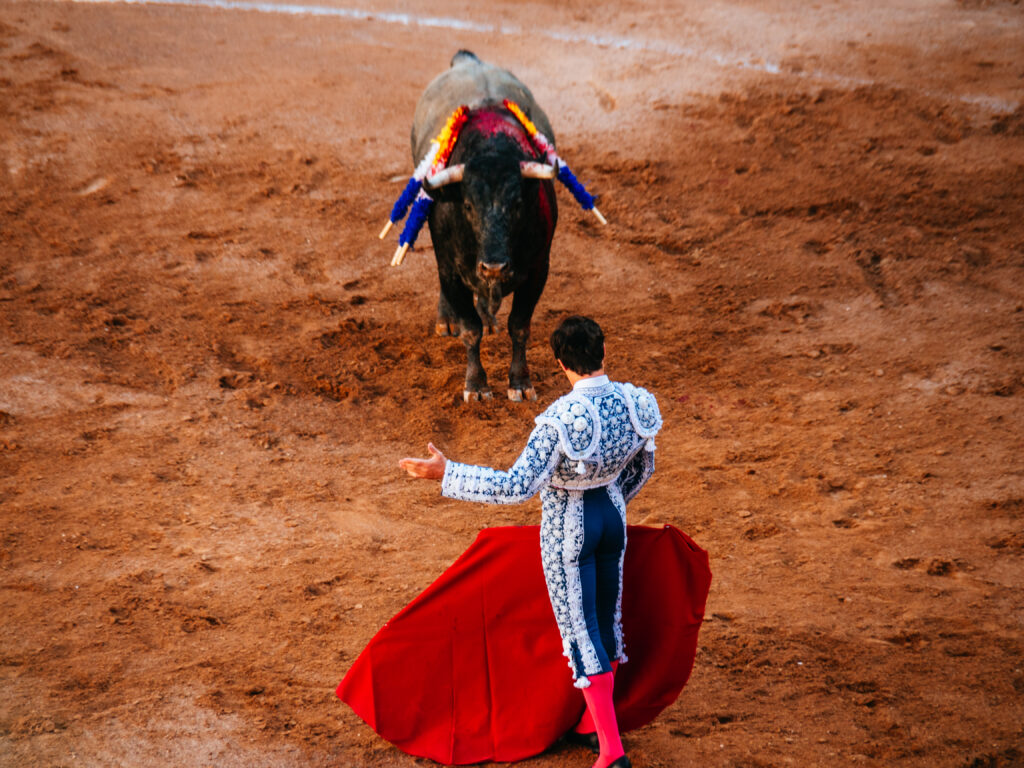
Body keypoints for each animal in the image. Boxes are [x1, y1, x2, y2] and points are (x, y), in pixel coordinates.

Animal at [405, 49, 557, 403]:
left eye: (518, 205)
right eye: (468, 206)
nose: (494, 267)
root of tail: (467, 60)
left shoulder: (538, 271)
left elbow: (519, 326)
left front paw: (520, 383)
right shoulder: (450, 270)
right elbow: (470, 330)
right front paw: (476, 386)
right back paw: (447, 321)